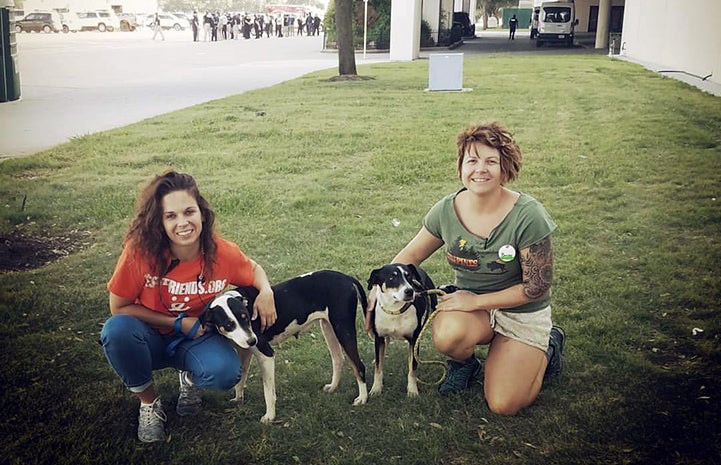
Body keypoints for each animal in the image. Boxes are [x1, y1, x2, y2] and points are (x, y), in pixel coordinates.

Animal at [200, 270, 368, 422]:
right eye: (229, 324)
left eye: (246, 317)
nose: (252, 341)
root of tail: (348, 278)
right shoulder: (245, 352)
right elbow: (241, 379)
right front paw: (238, 400)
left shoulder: (266, 354)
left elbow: (267, 391)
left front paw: (270, 416)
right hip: (329, 328)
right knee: (338, 359)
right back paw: (333, 387)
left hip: (343, 330)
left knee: (358, 366)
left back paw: (362, 398)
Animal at [366, 262, 434, 396]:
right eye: (392, 278)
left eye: (409, 276)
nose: (410, 291)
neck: (395, 311)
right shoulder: (379, 338)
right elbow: (378, 366)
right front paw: (376, 389)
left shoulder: (414, 339)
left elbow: (412, 368)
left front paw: (412, 391)